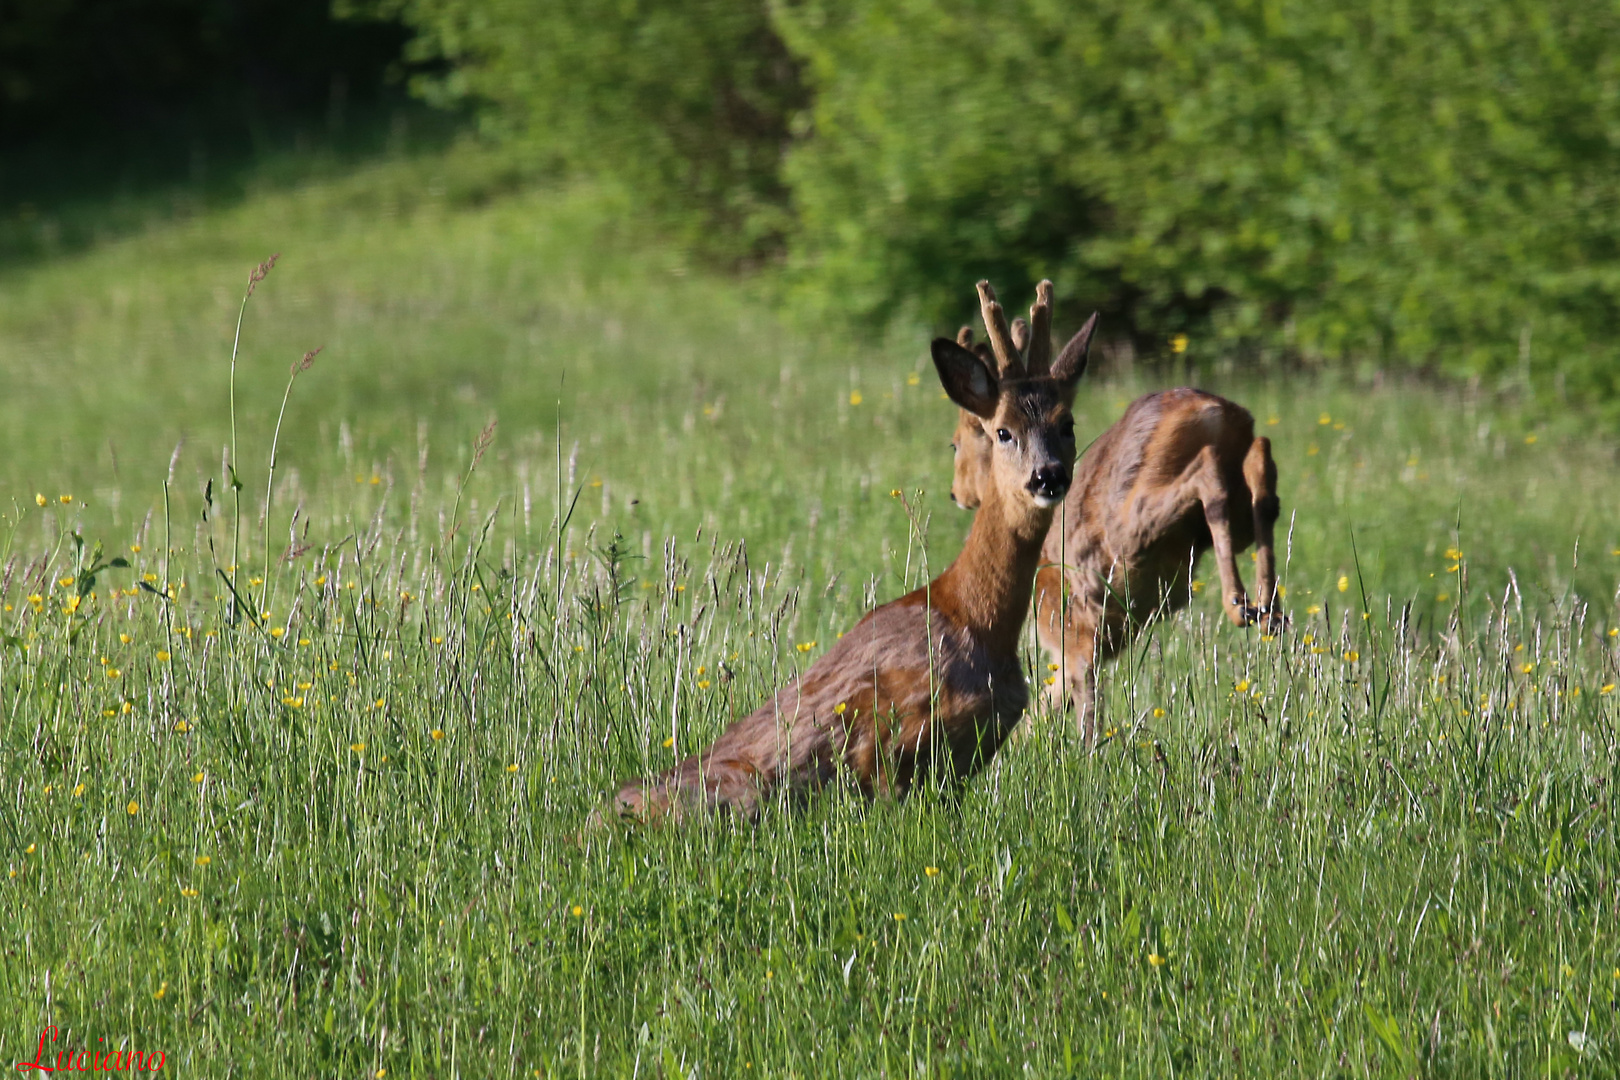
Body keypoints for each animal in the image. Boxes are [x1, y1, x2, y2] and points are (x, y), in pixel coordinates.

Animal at [596, 283, 1101, 822]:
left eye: (1068, 423)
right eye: (1003, 430)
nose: (1048, 476)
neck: (974, 617)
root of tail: (596, 817)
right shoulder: (891, 745)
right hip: (740, 791)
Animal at [946, 291, 1276, 738]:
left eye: (956, 442)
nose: (957, 493)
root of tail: (1214, 410)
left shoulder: (1069, 629)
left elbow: (1081, 708)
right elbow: (1046, 711)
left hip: (1136, 524)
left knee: (1208, 477)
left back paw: (1239, 605)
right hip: (1233, 508)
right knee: (1262, 469)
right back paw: (1267, 607)